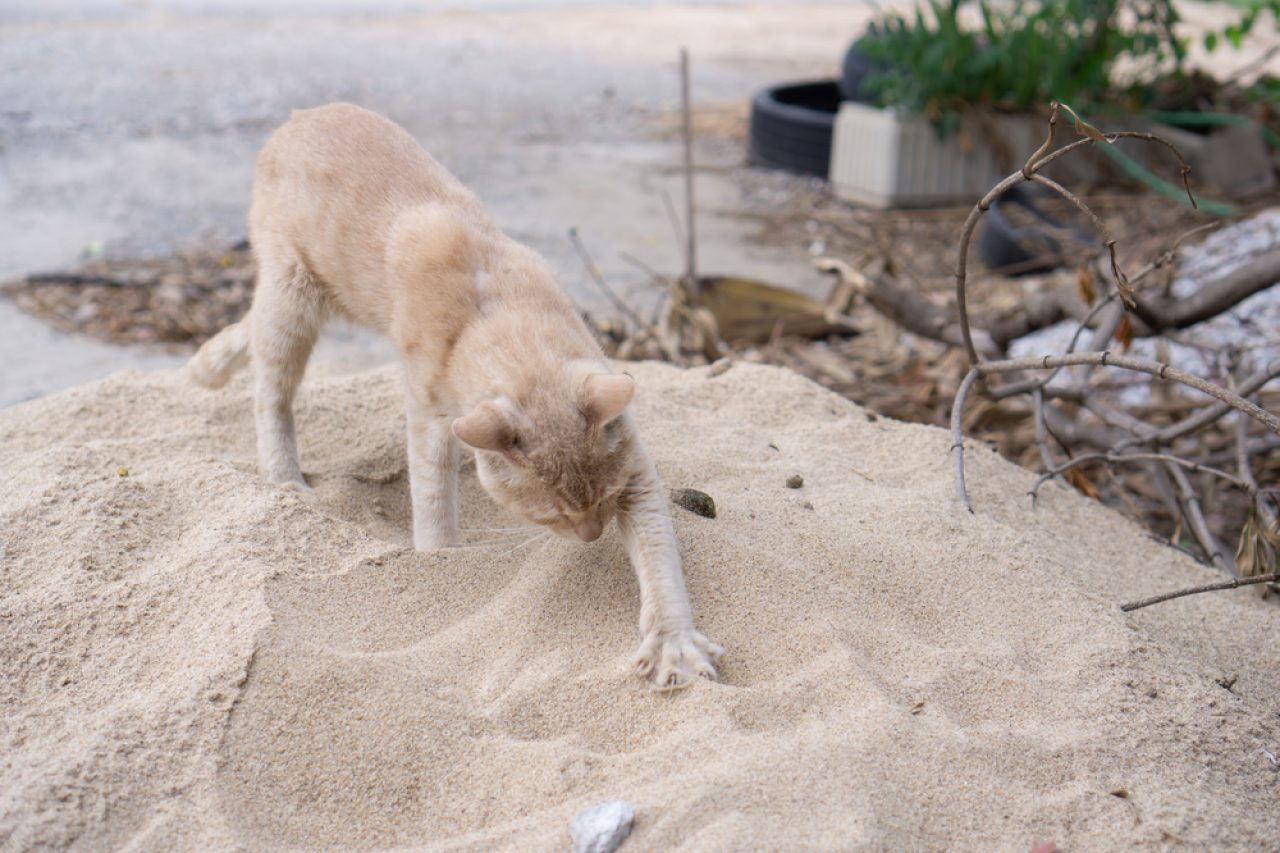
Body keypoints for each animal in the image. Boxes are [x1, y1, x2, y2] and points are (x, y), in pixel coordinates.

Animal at [194, 101, 727, 686]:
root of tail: (305, 114)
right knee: (271, 391)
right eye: (552, 515)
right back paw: (284, 476)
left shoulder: (634, 470)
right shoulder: (430, 415)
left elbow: (659, 560)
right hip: (292, 299)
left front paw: (673, 640)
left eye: (604, 501)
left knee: (247, 331)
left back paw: (207, 365)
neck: (494, 311)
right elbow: (432, 500)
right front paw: (439, 559)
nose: (592, 535)